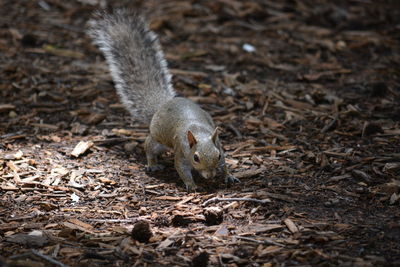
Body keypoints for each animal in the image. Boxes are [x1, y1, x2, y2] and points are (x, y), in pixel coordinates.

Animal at [87, 9, 238, 191]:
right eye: (195, 157)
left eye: (218, 155)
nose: (210, 175)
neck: (199, 132)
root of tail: (164, 104)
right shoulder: (181, 151)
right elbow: (181, 169)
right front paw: (191, 185)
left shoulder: (219, 146)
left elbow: (225, 165)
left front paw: (228, 176)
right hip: (157, 140)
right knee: (149, 147)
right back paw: (152, 164)